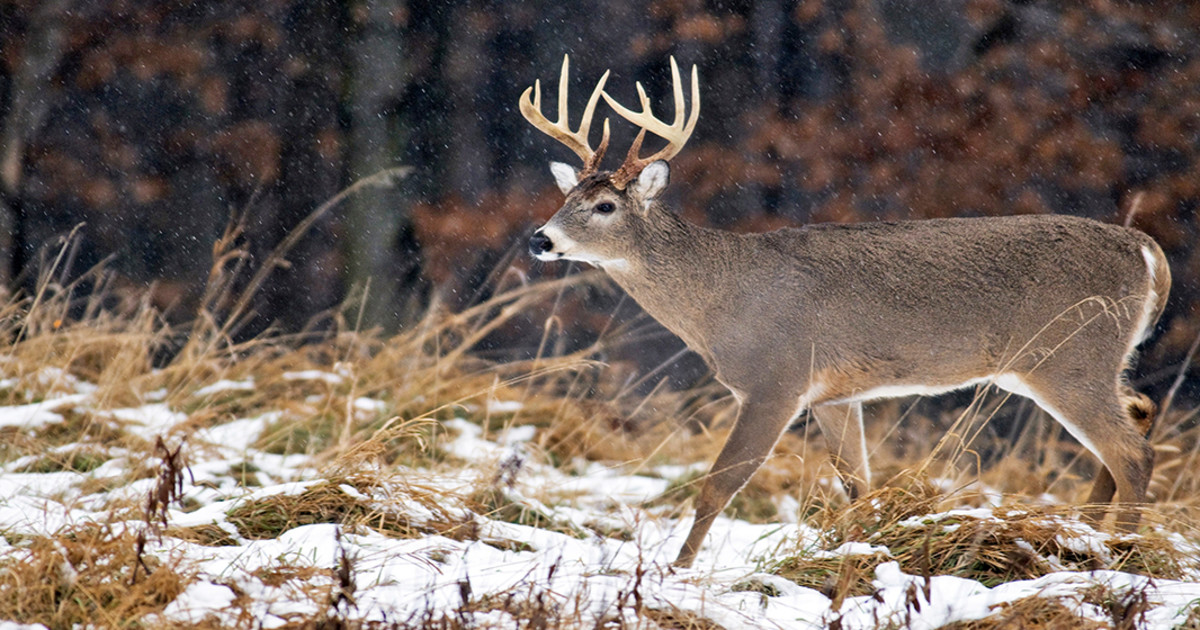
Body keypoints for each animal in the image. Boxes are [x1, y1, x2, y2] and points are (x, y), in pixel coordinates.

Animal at [518, 55, 1172, 568]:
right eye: (566, 196)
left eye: (604, 205)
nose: (540, 239)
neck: (719, 298)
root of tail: (1147, 252)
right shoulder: (834, 395)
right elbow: (858, 485)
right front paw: (862, 554)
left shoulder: (776, 379)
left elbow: (718, 484)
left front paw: (675, 572)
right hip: (1079, 361)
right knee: (1137, 413)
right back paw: (1082, 535)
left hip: (1068, 355)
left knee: (1131, 450)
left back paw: (1120, 556)